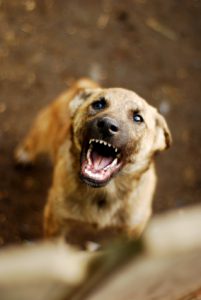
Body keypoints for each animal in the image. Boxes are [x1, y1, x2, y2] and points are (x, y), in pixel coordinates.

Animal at [14, 78, 171, 248]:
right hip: (44, 129)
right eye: (98, 104)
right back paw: (25, 154)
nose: (107, 126)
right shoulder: (55, 220)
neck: (102, 193)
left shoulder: (133, 229)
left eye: (138, 118)